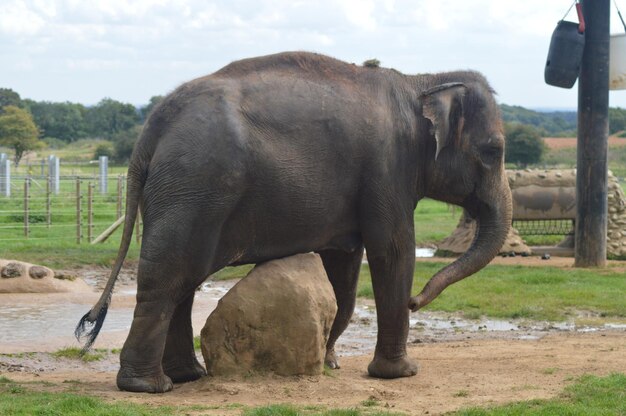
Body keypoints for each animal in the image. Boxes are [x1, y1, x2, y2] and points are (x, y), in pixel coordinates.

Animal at [74, 51, 512, 394]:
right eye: (494, 151)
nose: (416, 301)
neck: (422, 80)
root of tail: (152, 126)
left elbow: (344, 267)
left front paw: (331, 362)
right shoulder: (388, 169)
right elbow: (392, 250)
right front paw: (401, 374)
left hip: (183, 191)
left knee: (183, 280)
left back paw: (186, 376)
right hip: (195, 184)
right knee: (169, 276)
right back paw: (148, 386)